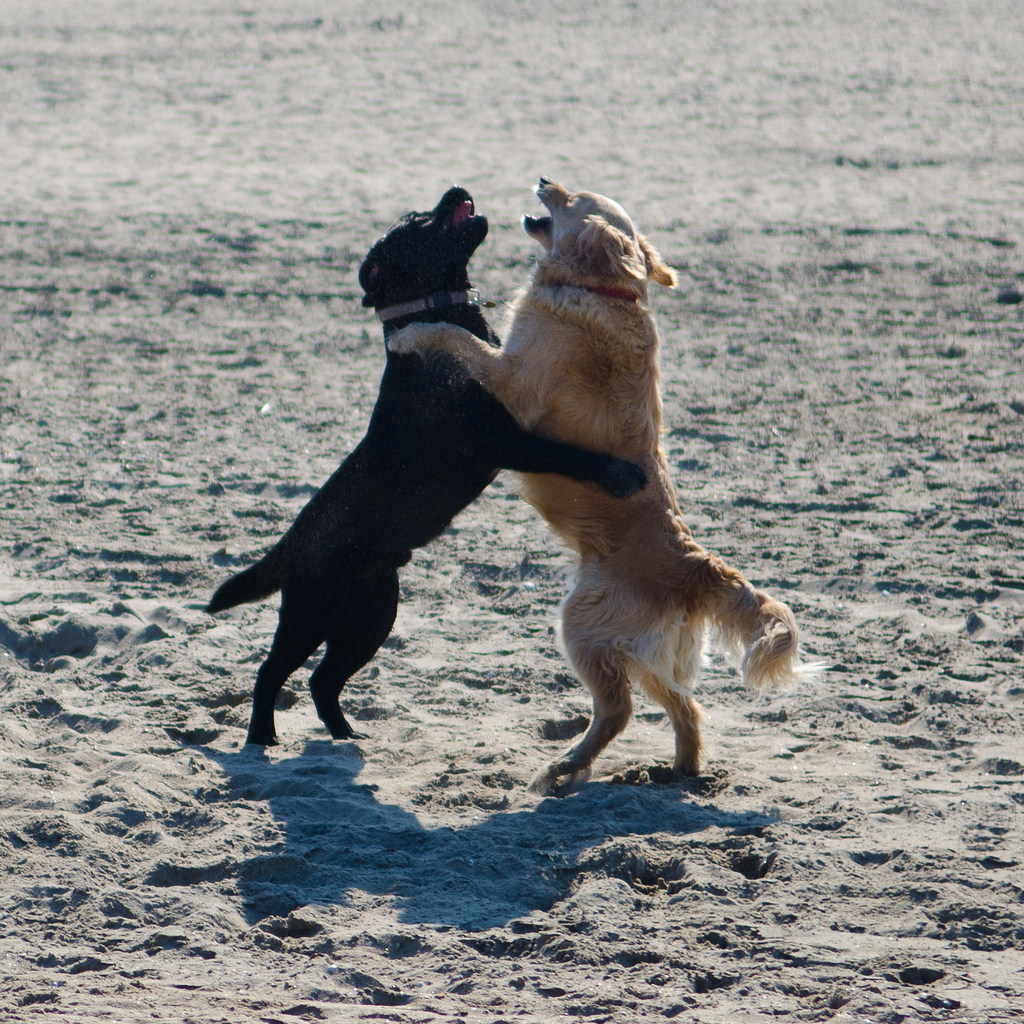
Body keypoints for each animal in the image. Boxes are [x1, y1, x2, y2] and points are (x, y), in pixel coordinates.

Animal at [204, 186, 643, 745]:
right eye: (416, 224)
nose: (455, 191)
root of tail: (289, 545)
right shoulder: (504, 440)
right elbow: (572, 456)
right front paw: (622, 475)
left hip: (372, 615)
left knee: (324, 681)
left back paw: (346, 736)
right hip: (311, 611)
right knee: (271, 671)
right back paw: (262, 736)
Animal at [387, 180, 811, 794]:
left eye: (574, 197)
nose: (544, 179)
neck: (602, 289)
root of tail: (694, 566)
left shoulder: (511, 379)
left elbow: (455, 335)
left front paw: (410, 334)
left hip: (582, 626)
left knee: (618, 711)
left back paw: (564, 768)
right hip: (645, 652)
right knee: (687, 709)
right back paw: (678, 773)